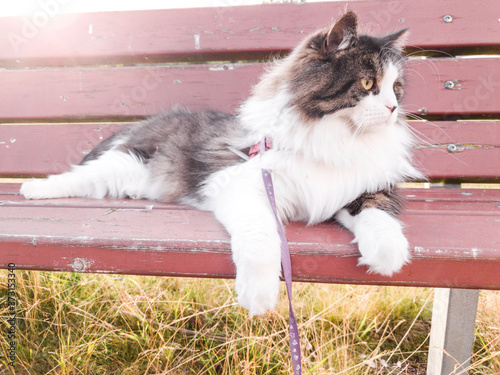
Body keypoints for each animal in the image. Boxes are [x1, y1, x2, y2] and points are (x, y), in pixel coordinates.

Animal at [21, 12, 424, 318]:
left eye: (396, 88)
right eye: (369, 83)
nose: (393, 109)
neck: (337, 139)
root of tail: (152, 121)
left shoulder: (361, 187)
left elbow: (376, 212)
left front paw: (388, 253)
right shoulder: (244, 185)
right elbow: (261, 238)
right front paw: (258, 294)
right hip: (123, 166)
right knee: (73, 177)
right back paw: (32, 190)